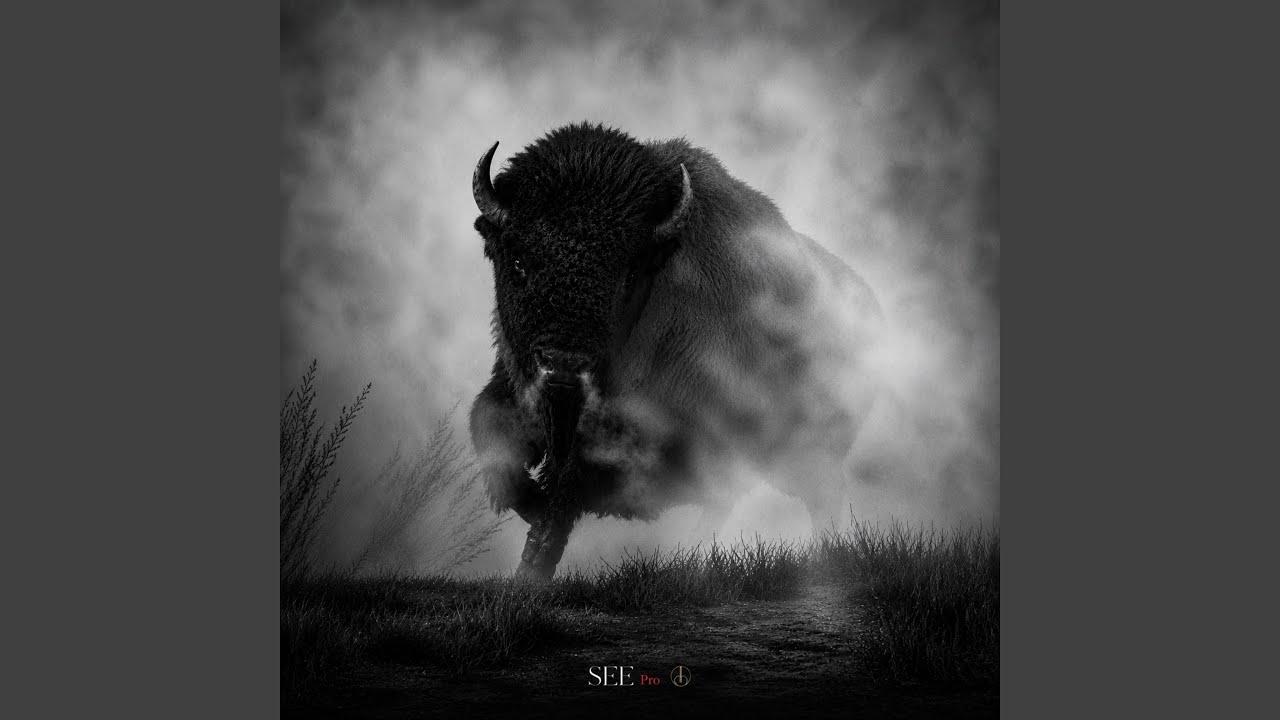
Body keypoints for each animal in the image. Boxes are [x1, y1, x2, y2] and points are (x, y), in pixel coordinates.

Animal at [469, 123, 884, 579]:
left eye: (629, 273)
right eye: (519, 261)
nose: (564, 365)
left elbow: (572, 489)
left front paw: (534, 560)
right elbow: (493, 438)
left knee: (818, 496)